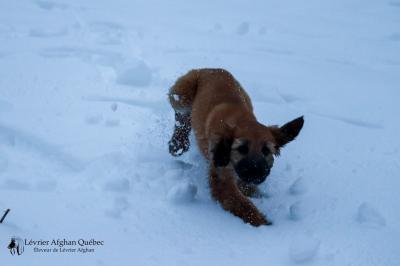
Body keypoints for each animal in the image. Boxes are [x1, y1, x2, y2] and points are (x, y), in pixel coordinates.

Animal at [166, 69, 304, 227]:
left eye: (266, 150)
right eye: (242, 148)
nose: (256, 175)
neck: (241, 119)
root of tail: (209, 68)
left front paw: (253, 192)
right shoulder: (222, 179)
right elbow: (243, 205)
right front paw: (265, 224)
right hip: (183, 94)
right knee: (181, 115)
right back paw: (178, 143)